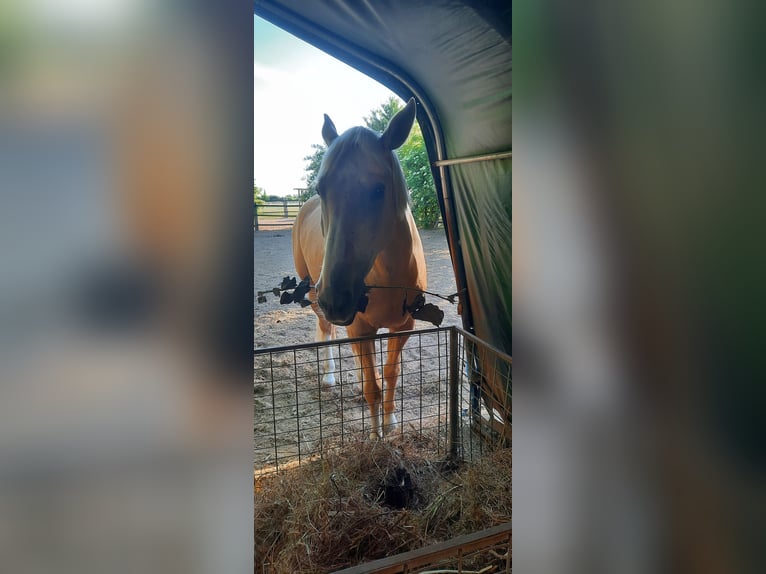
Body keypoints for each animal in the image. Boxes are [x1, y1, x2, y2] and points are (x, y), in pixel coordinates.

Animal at [292, 98, 427, 439]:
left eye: (379, 189)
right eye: (322, 188)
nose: (336, 299)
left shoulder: (402, 327)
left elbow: (390, 374)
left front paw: (390, 421)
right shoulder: (360, 328)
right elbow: (372, 387)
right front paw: (375, 433)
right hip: (312, 291)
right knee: (325, 330)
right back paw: (328, 375)